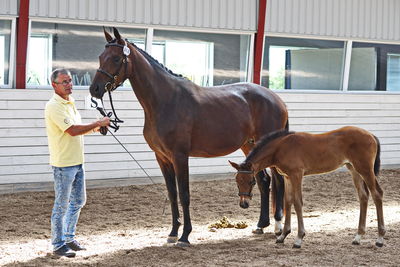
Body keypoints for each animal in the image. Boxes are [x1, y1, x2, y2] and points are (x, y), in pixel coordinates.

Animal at [88, 27, 288, 247]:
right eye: (100, 57)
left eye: (116, 58)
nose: (95, 89)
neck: (166, 100)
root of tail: (277, 99)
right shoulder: (162, 157)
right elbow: (172, 194)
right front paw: (173, 233)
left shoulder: (180, 156)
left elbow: (184, 194)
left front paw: (185, 236)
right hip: (249, 146)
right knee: (263, 181)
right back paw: (261, 225)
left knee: (278, 181)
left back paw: (278, 226)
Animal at [231, 126, 384, 250]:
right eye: (237, 181)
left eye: (252, 182)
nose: (244, 204)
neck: (281, 148)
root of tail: (371, 135)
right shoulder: (287, 177)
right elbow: (288, 201)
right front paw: (283, 236)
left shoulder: (297, 175)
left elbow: (298, 202)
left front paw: (299, 239)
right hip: (353, 169)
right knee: (363, 196)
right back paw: (358, 237)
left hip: (365, 169)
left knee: (377, 194)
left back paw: (380, 239)